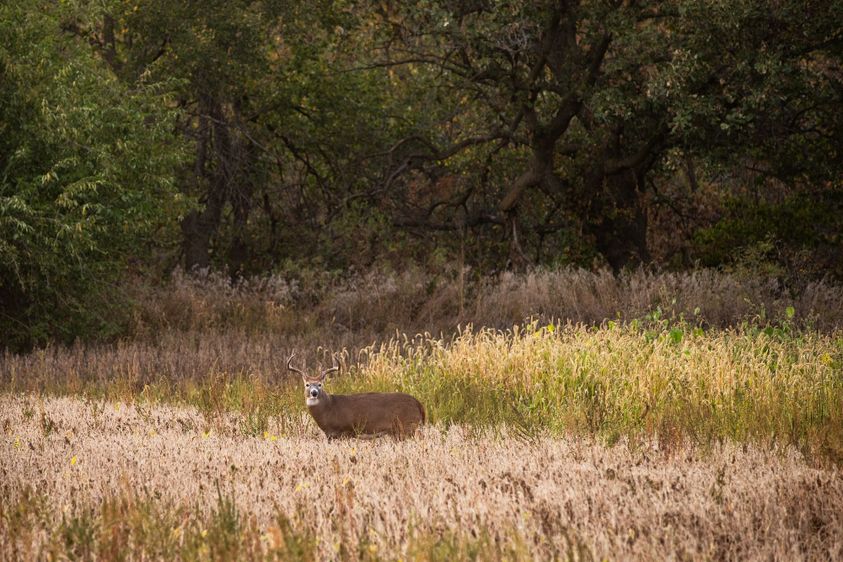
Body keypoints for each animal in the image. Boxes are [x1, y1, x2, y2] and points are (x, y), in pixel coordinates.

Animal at [288, 352, 426, 440]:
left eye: (320, 384)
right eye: (307, 384)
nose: (314, 392)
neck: (329, 408)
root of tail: (419, 404)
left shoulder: (345, 431)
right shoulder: (330, 435)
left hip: (408, 426)